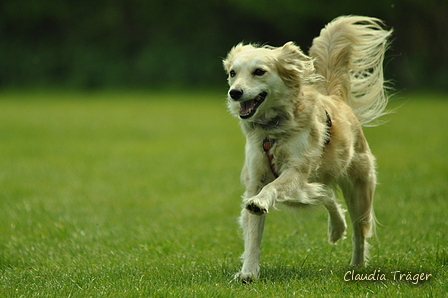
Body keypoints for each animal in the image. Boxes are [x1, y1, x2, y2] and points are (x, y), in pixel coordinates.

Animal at [224, 15, 392, 282]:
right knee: (325, 195)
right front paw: (248, 272)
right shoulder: (256, 180)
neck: (272, 130)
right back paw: (336, 227)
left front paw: (260, 202)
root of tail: (336, 98)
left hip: (359, 189)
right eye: (233, 73)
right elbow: (252, 232)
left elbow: (271, 189)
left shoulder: (296, 171)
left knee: (359, 231)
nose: (235, 92)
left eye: (259, 71)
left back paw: (356, 266)